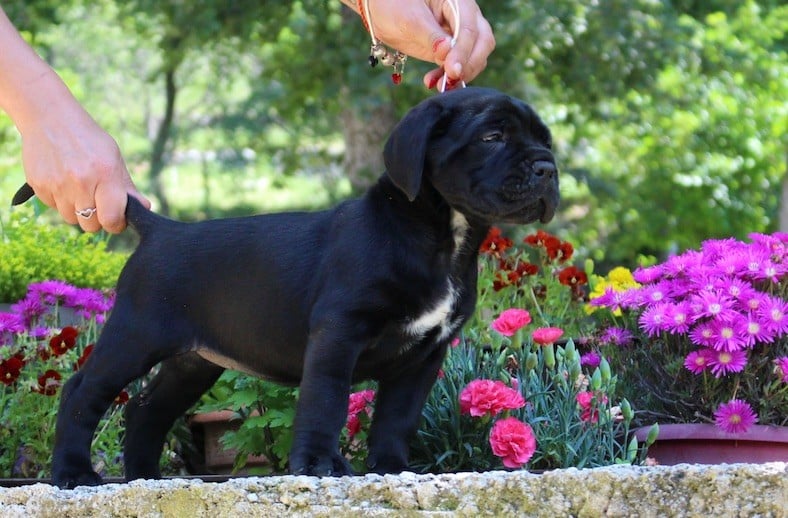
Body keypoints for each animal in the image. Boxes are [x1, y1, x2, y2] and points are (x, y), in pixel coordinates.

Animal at [47, 87, 560, 490]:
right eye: (492, 137)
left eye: (545, 140)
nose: (547, 168)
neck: (443, 237)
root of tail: (160, 230)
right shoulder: (340, 332)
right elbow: (326, 399)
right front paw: (318, 464)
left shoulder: (425, 354)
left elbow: (398, 416)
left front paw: (391, 467)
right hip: (135, 336)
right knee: (81, 393)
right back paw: (74, 473)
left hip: (193, 362)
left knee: (146, 409)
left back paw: (145, 477)